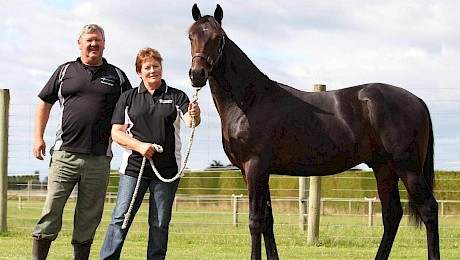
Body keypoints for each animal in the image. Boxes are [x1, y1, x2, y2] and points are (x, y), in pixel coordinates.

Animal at [189, 4, 440, 260]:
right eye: (191, 35)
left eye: (217, 37)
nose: (197, 74)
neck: (250, 101)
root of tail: (417, 100)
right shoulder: (255, 172)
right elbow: (268, 221)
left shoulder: (255, 168)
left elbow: (255, 221)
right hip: (384, 168)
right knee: (392, 214)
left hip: (407, 168)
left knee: (429, 209)